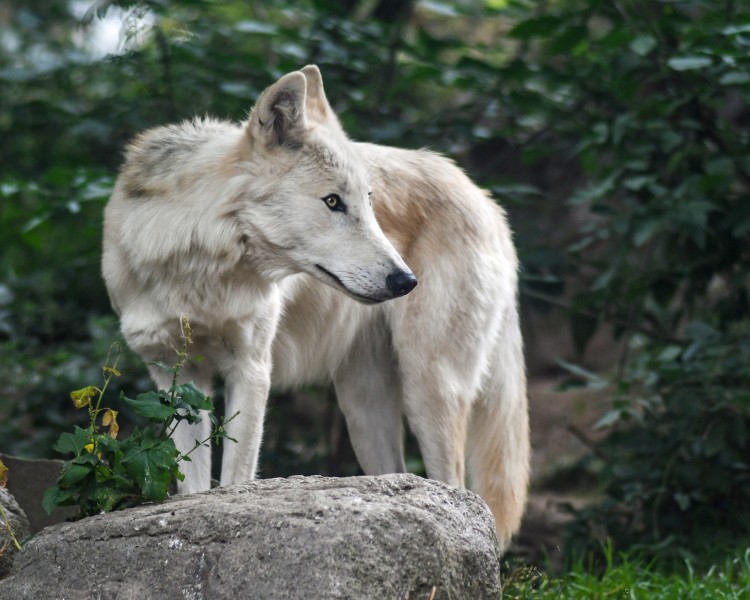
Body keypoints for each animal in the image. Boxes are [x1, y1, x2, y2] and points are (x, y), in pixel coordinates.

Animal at [103, 65, 532, 552]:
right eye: (332, 201)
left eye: (369, 202)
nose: (406, 281)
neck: (198, 268)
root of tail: (485, 200)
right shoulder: (176, 380)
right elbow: (192, 486)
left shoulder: (252, 369)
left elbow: (234, 479)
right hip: (364, 411)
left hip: (429, 388)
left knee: (456, 487)